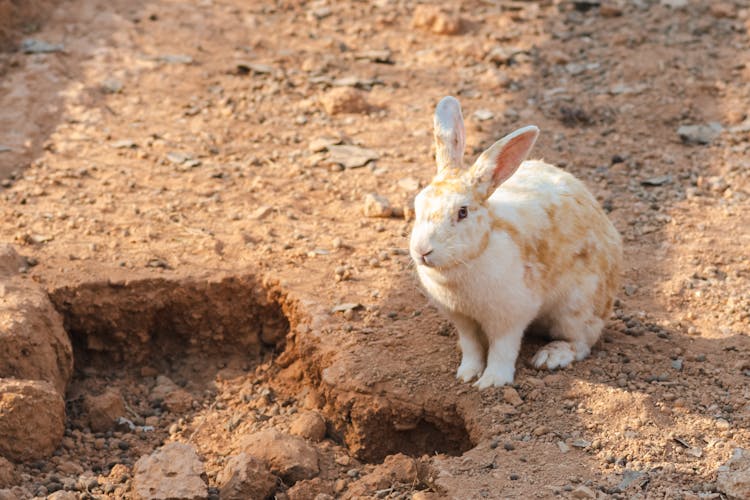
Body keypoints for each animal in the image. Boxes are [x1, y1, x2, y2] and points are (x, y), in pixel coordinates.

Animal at [412, 95, 624, 388]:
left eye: (462, 212)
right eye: (417, 203)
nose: (422, 251)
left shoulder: (510, 317)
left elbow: (503, 349)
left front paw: (491, 382)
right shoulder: (462, 320)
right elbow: (471, 346)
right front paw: (467, 374)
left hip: (576, 310)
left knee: (582, 342)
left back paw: (550, 356)